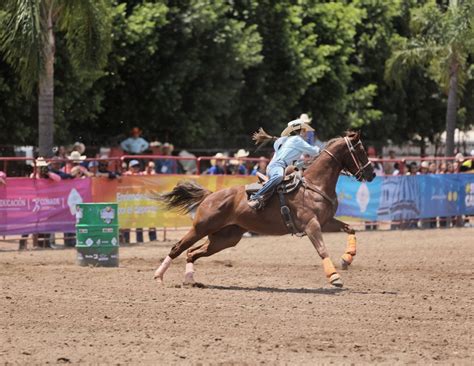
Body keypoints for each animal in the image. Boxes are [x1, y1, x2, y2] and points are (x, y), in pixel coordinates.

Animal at [155, 130, 374, 288]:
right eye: (361, 151)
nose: (371, 173)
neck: (315, 184)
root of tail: (211, 195)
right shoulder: (311, 225)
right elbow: (322, 249)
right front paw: (335, 277)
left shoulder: (326, 222)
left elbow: (350, 229)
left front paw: (347, 259)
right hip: (201, 227)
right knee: (178, 248)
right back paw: (158, 277)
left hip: (224, 238)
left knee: (192, 252)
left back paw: (190, 280)